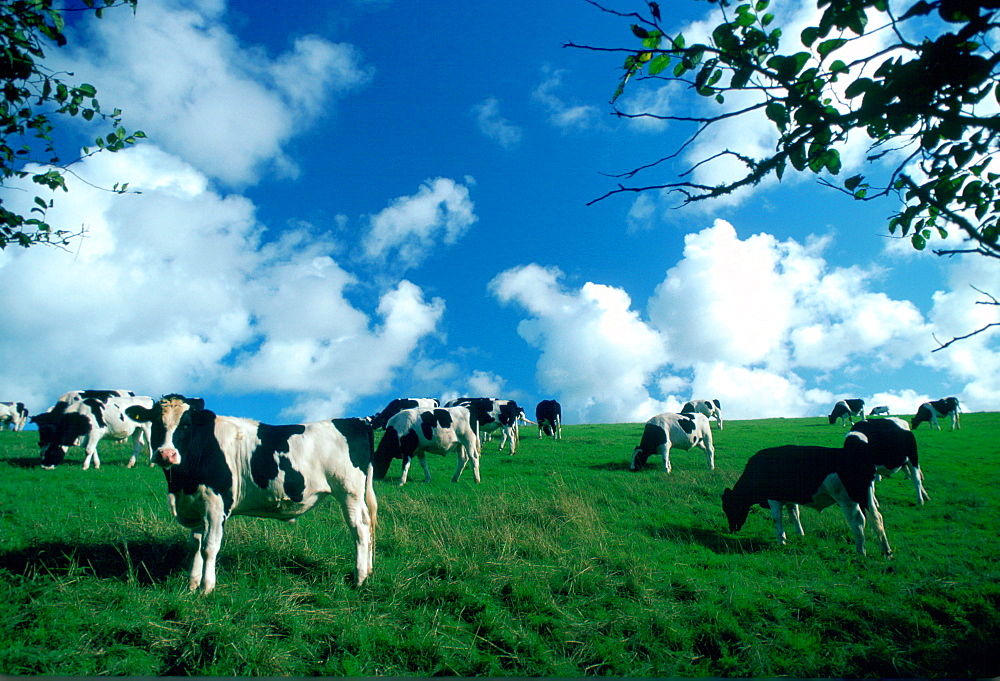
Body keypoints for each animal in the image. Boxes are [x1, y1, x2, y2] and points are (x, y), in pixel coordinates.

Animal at [125, 396, 376, 592]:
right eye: (155, 422)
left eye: (186, 424)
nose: (165, 454)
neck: (182, 484)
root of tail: (356, 421)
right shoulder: (195, 506)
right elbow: (195, 546)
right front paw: (192, 585)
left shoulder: (216, 506)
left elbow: (209, 547)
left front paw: (207, 588)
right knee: (368, 524)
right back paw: (369, 570)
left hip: (348, 492)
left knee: (359, 529)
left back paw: (359, 578)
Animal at [724, 432, 896, 556]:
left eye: (729, 508)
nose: (732, 529)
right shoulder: (790, 499)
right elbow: (795, 515)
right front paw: (800, 536)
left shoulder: (773, 499)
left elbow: (777, 519)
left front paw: (781, 541)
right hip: (866, 498)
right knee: (877, 519)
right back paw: (886, 552)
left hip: (848, 500)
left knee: (858, 521)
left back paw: (861, 552)